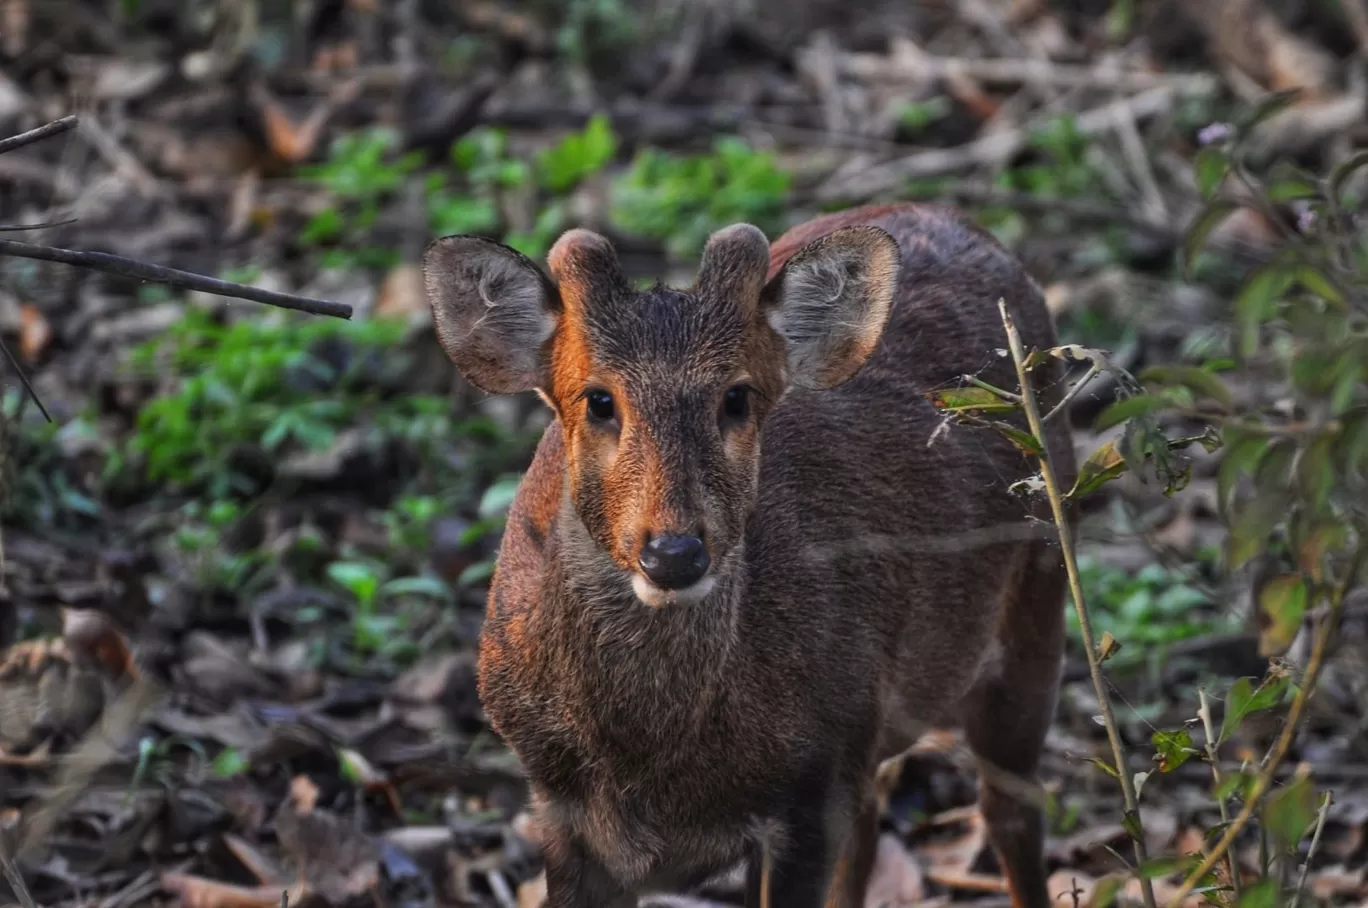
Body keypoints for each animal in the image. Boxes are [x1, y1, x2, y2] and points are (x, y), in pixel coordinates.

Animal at [426, 203, 1077, 908]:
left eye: (736, 397)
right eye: (598, 400)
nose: (674, 552)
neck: (650, 767)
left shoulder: (811, 789)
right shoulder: (558, 808)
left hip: (1040, 593)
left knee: (1010, 806)